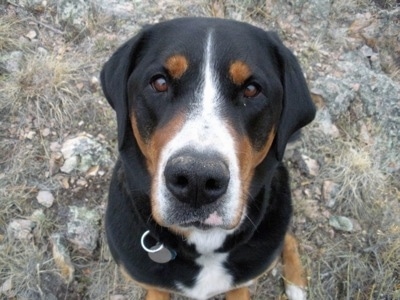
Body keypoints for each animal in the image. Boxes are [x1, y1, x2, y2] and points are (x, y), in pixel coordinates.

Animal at [101, 17, 316, 300]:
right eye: (159, 83)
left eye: (252, 89)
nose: (197, 180)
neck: (204, 244)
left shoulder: (242, 281)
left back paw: (295, 282)